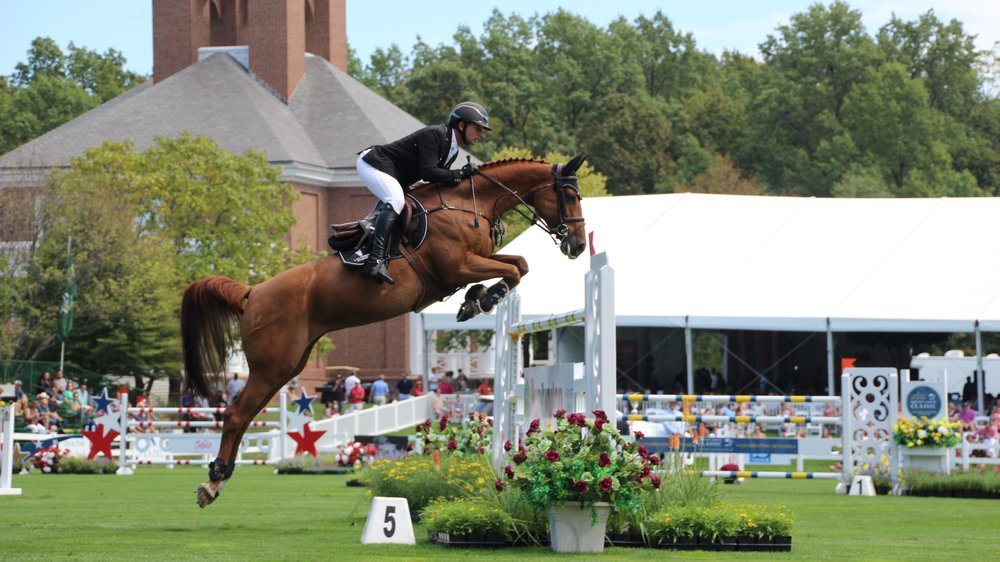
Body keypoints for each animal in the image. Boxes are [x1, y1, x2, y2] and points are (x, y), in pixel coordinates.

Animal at [182, 152, 584, 504]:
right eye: (567, 195)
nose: (578, 245)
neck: (468, 204)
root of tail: (252, 291)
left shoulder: (476, 261)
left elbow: (518, 263)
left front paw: (475, 299)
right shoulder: (458, 266)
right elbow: (514, 268)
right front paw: (485, 298)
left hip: (286, 367)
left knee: (245, 415)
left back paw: (217, 480)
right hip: (272, 366)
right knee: (236, 415)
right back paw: (212, 482)